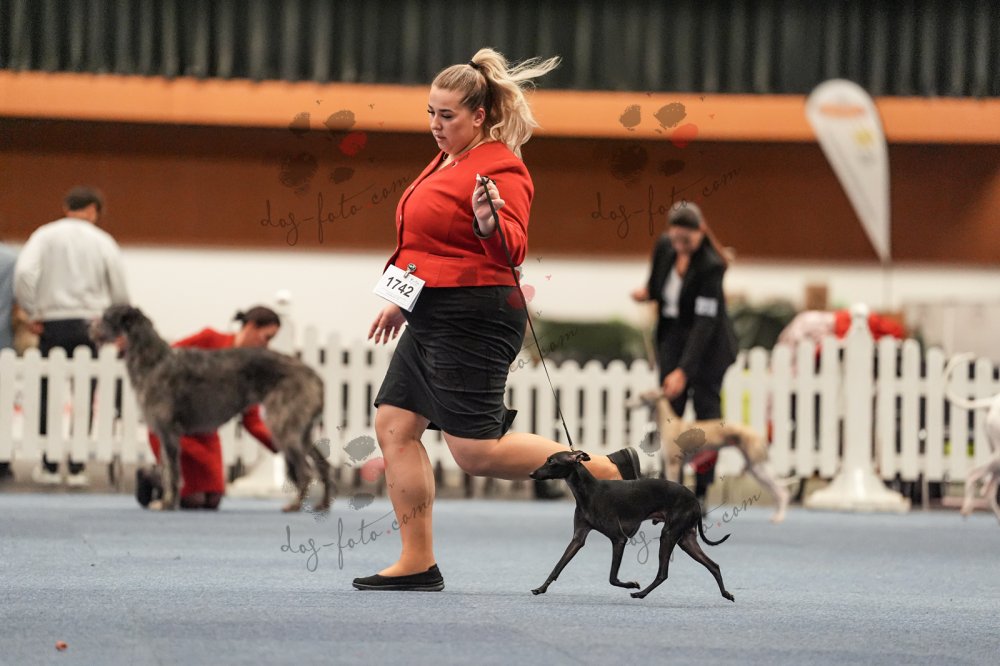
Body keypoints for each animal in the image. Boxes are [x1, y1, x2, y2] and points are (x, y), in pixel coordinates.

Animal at [91, 305, 333, 512]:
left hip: (284, 425)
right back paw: (323, 504)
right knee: (324, 465)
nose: (89, 328)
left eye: (106, 317)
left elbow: (172, 472)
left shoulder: (168, 432)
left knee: (306, 471)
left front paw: (167, 503)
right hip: (301, 430)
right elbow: (167, 469)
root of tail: (316, 377)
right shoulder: (165, 433)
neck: (153, 361)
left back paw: (295, 505)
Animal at [529, 450, 734, 601]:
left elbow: (612, 578)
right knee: (713, 565)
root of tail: (695, 500)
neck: (589, 491)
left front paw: (632, 584)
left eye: (551, 461)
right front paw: (540, 588)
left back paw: (640, 593)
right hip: (686, 539)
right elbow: (558, 566)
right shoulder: (578, 537)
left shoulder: (619, 539)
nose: (531, 473)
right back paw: (726, 594)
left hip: (668, 534)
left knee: (663, 573)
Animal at [629, 390, 790, 523]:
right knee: (777, 491)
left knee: (782, 492)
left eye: (641, 396)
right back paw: (776, 515)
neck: (669, 423)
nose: (627, 404)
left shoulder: (672, 465)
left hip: (758, 466)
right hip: (754, 467)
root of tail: (757, 434)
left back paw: (780, 517)